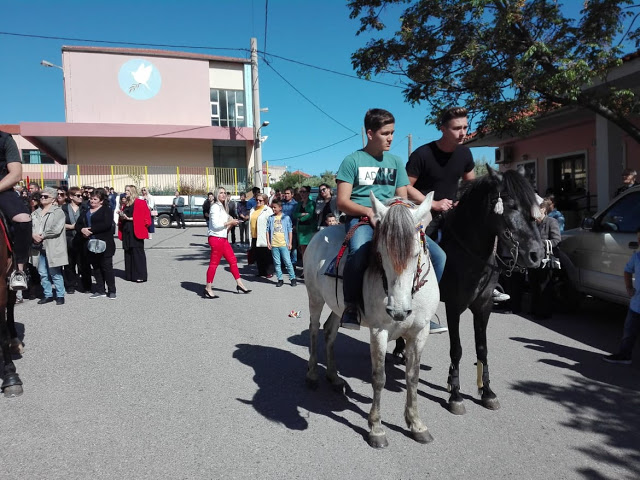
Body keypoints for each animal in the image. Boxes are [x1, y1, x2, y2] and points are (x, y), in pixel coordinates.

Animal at [302, 190, 438, 446]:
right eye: (380, 254)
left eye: (416, 253)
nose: (398, 312)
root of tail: (321, 233)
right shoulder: (379, 331)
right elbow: (379, 378)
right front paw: (376, 427)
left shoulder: (420, 332)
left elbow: (412, 377)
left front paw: (416, 424)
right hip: (315, 297)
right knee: (314, 329)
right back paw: (313, 375)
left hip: (338, 307)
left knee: (329, 332)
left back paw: (334, 377)